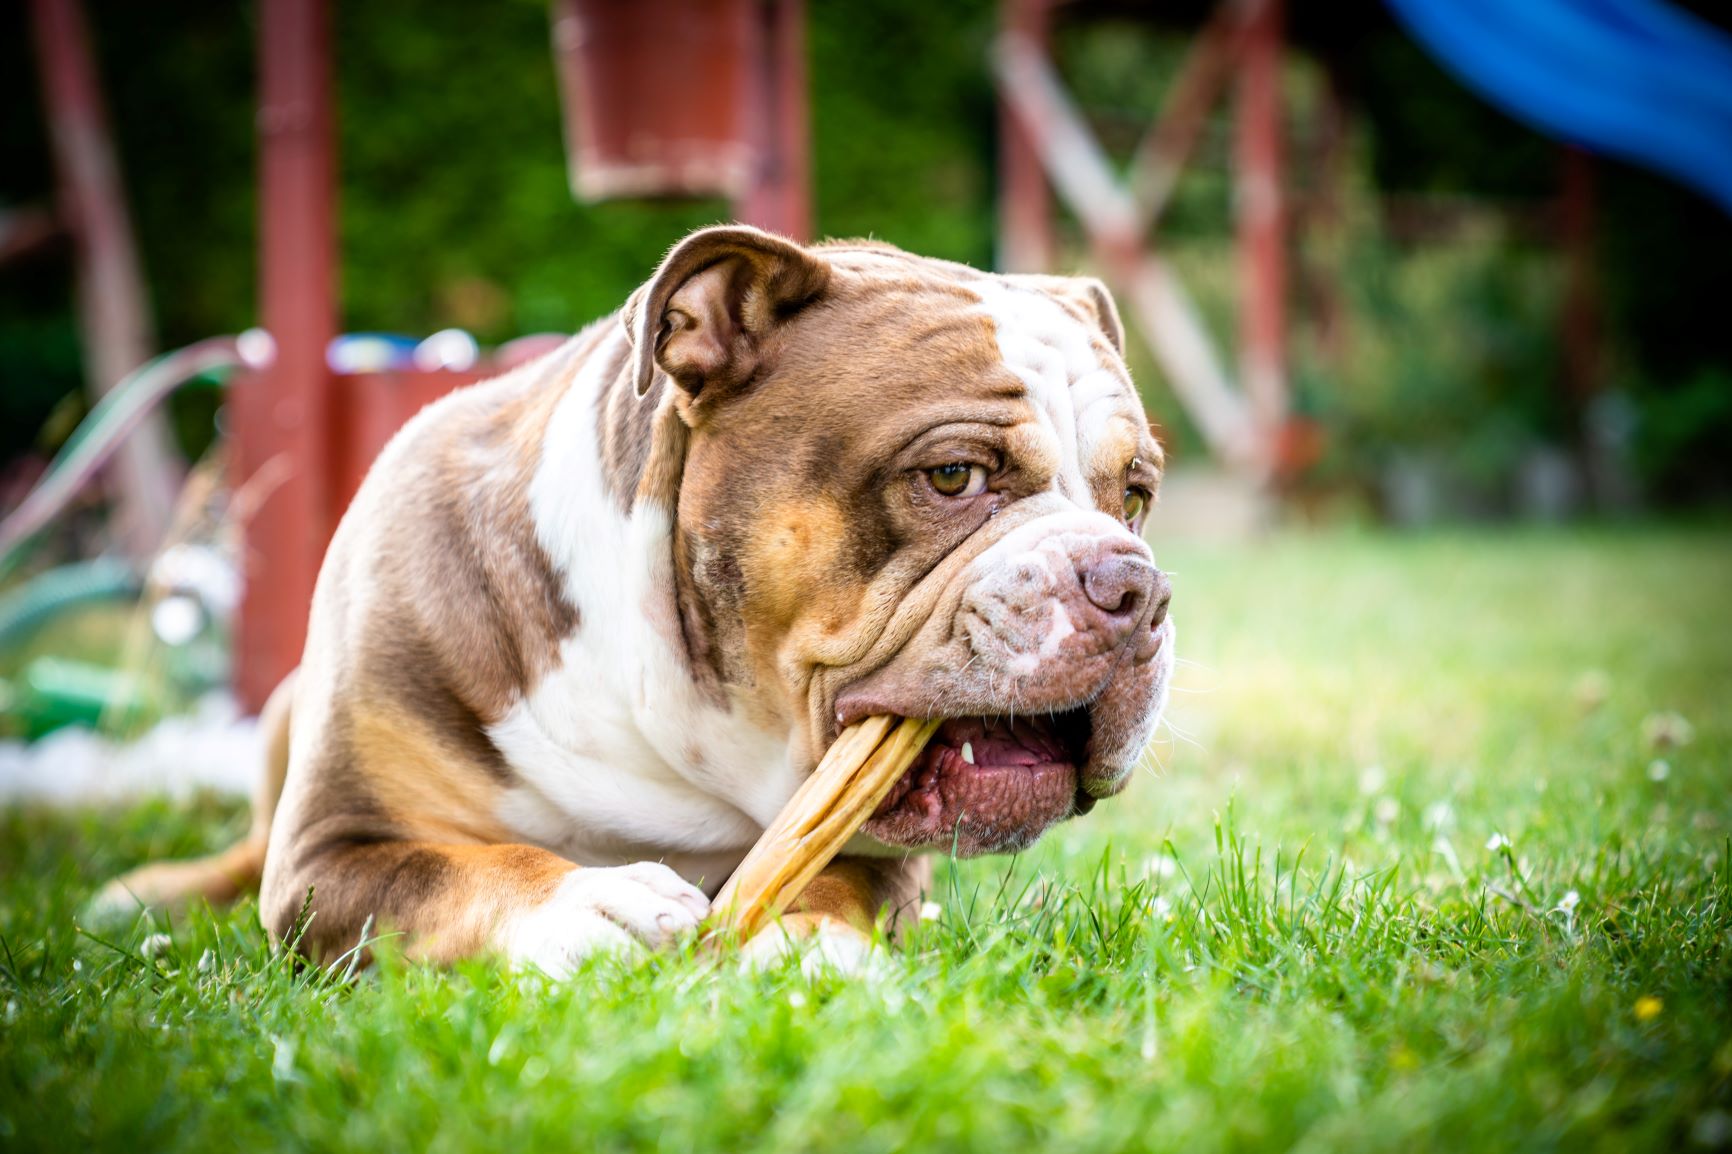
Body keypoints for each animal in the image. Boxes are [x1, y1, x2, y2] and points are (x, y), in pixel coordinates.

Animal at [101, 225, 1170, 970]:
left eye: (1136, 496)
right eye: (952, 475)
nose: (1134, 585)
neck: (670, 710)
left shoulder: (859, 842)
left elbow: (829, 882)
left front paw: (810, 949)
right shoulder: (333, 851)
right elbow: (452, 870)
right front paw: (589, 903)